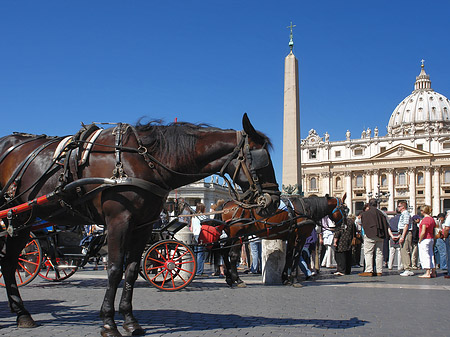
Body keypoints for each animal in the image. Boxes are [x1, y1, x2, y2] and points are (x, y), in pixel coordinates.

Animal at [0, 113, 280, 336]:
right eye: (263, 160)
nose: (274, 201)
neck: (145, 161)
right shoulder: (118, 220)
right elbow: (114, 269)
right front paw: (108, 323)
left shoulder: (143, 225)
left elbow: (132, 270)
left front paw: (130, 322)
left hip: (23, 220)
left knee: (9, 261)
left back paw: (23, 314)